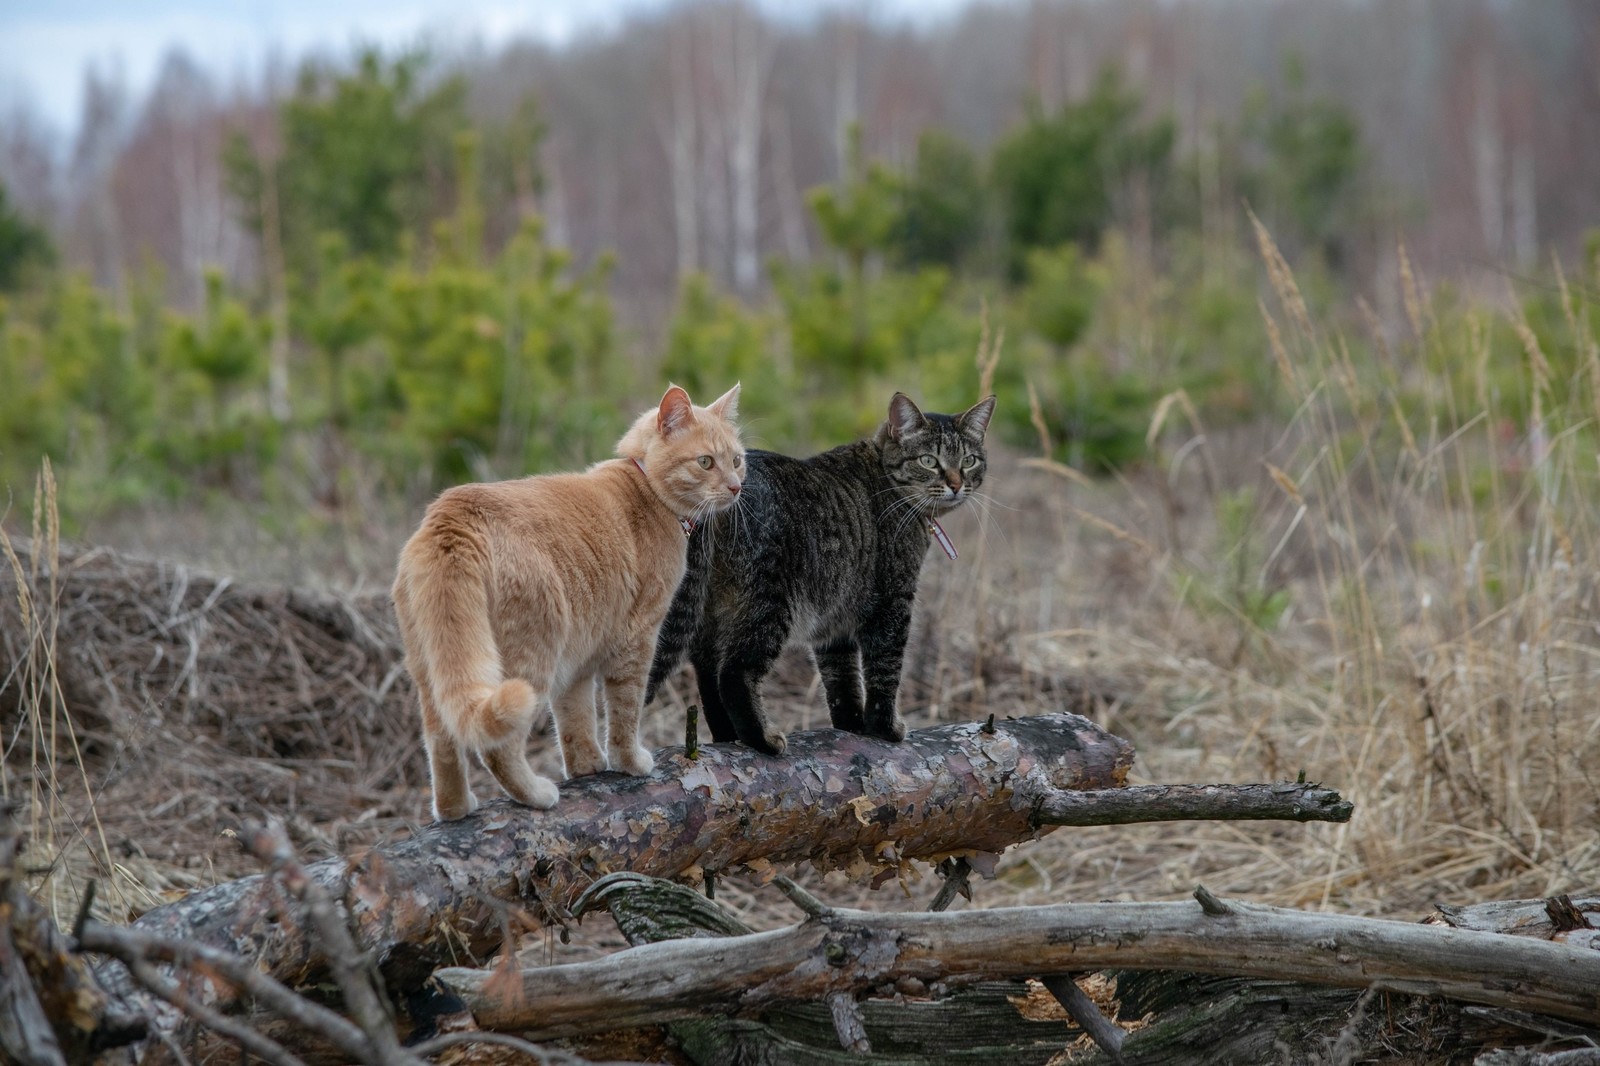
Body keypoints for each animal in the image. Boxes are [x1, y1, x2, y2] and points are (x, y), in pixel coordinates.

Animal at [400, 382, 748, 813]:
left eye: (737, 460)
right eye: (705, 462)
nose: (736, 487)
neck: (645, 489)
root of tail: (452, 517)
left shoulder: (579, 658)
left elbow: (575, 719)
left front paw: (587, 768)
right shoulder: (637, 639)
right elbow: (625, 710)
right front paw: (629, 762)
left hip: (433, 670)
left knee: (442, 742)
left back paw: (456, 810)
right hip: (530, 661)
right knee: (497, 746)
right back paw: (535, 794)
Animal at [643, 388, 992, 745]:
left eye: (969, 460)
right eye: (928, 461)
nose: (955, 484)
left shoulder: (834, 620)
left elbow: (841, 681)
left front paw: (852, 726)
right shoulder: (893, 602)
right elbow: (885, 671)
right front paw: (884, 729)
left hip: (712, 611)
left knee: (708, 677)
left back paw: (728, 737)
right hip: (766, 606)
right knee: (733, 674)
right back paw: (762, 740)